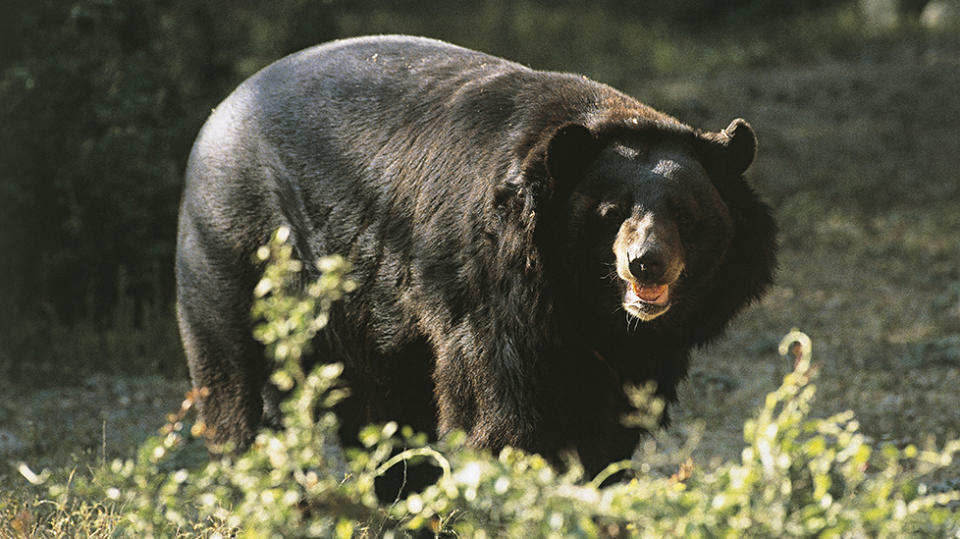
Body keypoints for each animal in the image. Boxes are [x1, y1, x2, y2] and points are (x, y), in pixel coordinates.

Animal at [178, 35, 780, 478]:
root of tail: (218, 111)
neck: (586, 301)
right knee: (235, 377)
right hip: (237, 245)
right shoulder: (490, 289)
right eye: (611, 213)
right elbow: (501, 408)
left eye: (686, 213)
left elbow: (610, 423)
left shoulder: (635, 349)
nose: (645, 263)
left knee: (382, 410)